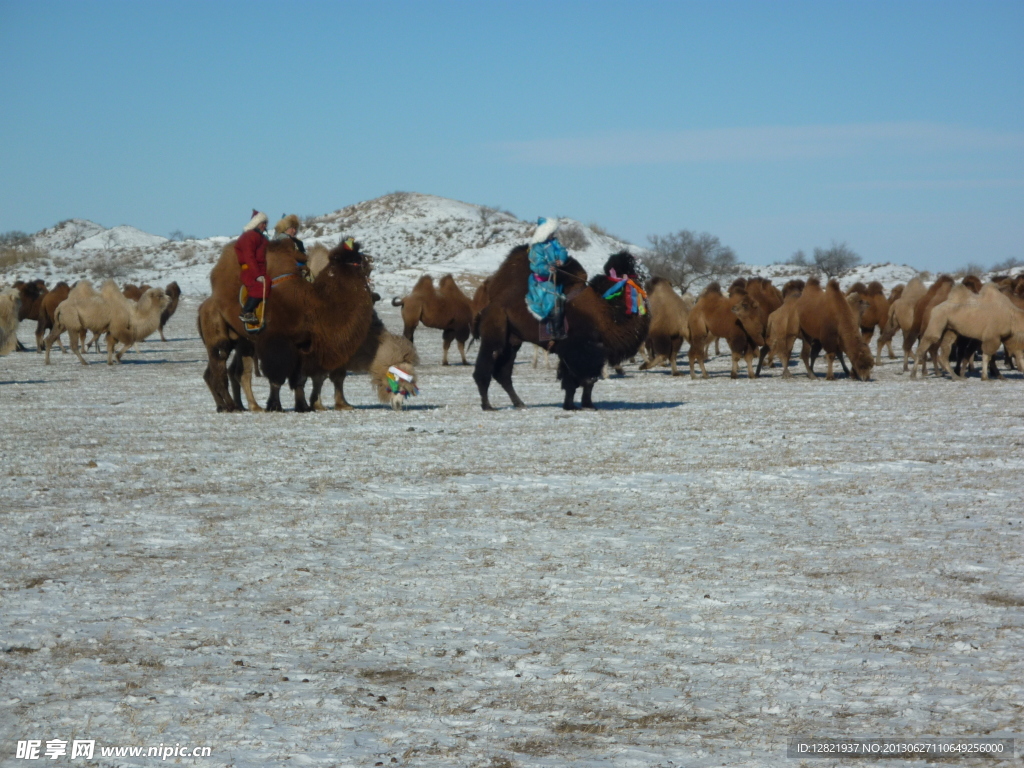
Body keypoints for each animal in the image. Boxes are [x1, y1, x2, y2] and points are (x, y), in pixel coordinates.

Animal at [473, 249, 647, 411]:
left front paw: (586, 405)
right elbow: (578, 381)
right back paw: (487, 406)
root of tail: (489, 303)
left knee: (502, 373)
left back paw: (519, 403)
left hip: (513, 341)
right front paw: (573, 406)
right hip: (494, 337)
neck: (605, 308)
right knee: (484, 370)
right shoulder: (578, 350)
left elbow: (585, 381)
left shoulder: (591, 353)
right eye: (628, 273)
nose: (643, 276)